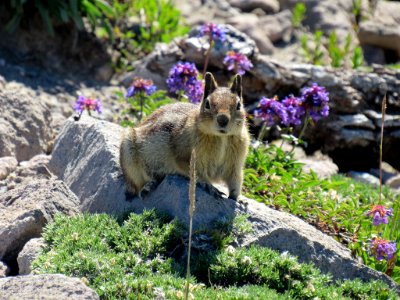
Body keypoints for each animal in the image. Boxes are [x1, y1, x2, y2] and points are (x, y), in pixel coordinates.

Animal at [119, 72, 250, 199]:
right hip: (129, 157)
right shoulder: (184, 157)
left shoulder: (236, 165)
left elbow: (236, 180)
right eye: (207, 104)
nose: (222, 119)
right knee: (136, 186)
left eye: (239, 105)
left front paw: (236, 198)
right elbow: (196, 173)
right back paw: (147, 187)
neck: (221, 137)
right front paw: (210, 186)